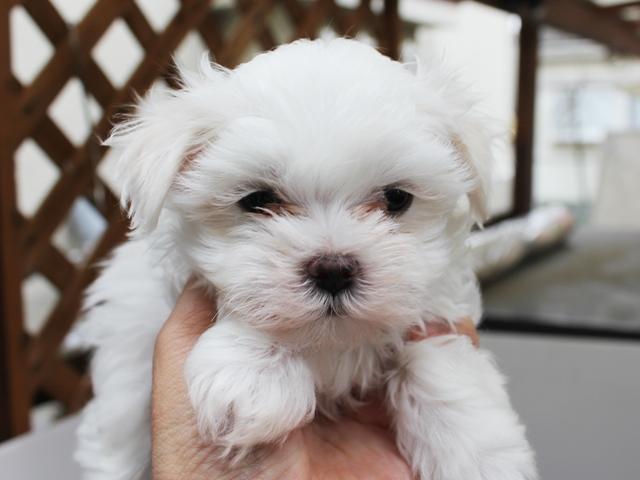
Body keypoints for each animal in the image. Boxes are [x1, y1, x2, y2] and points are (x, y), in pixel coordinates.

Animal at [74, 38, 537, 480]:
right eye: (258, 200)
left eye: (396, 199)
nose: (333, 270)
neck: (332, 344)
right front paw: (252, 374)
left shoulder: (438, 302)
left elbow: (432, 355)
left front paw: (479, 452)